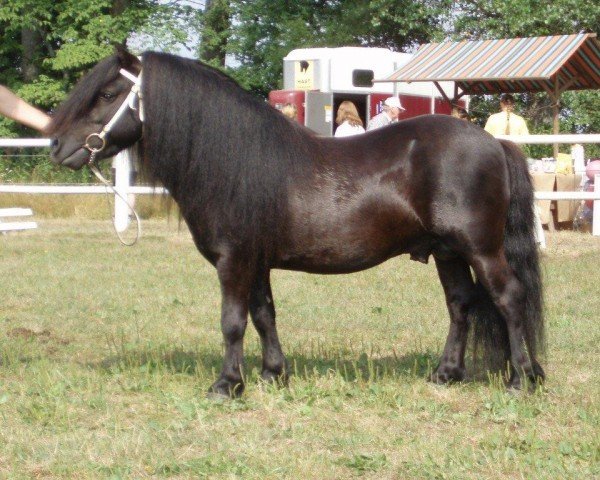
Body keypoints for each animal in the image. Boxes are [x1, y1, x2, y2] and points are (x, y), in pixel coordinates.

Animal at [49, 48, 548, 398]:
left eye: (108, 94)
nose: (56, 147)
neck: (232, 160)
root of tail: (494, 142)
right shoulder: (256, 261)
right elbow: (264, 315)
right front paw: (273, 374)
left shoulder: (234, 260)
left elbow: (232, 321)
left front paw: (226, 385)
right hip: (447, 252)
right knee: (461, 304)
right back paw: (446, 374)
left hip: (480, 249)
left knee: (508, 298)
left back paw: (521, 379)